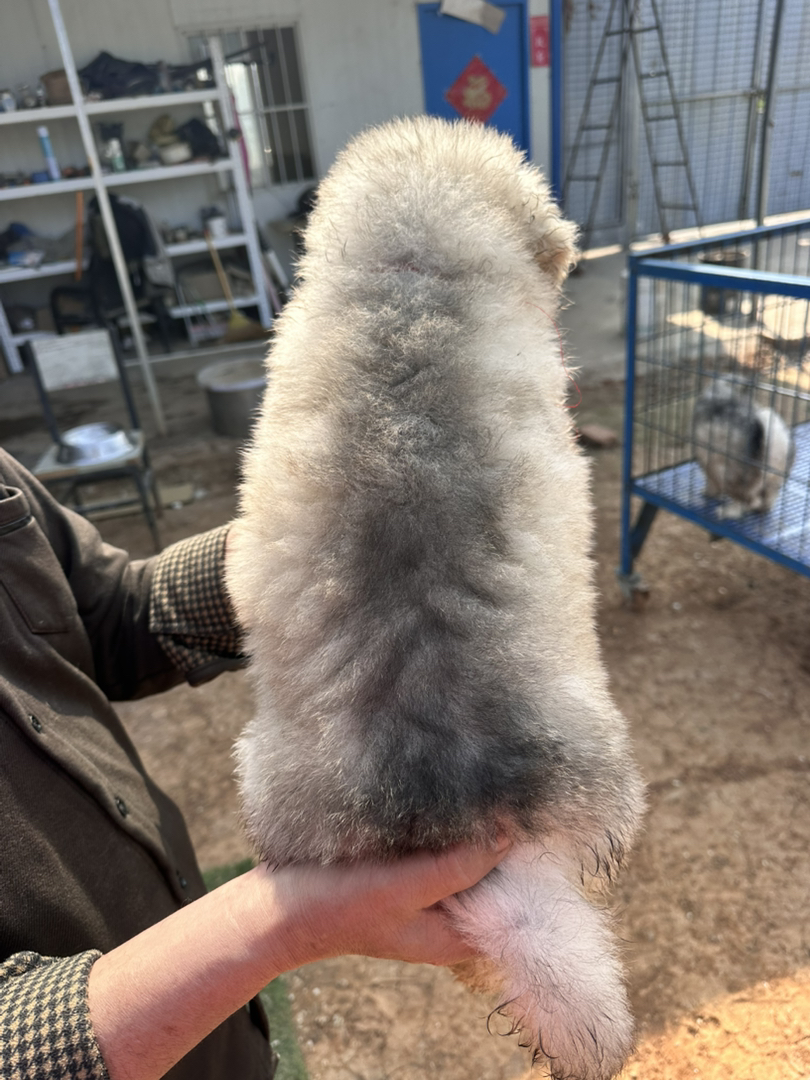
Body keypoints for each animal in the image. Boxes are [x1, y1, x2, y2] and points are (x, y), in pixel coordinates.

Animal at [693, 377, 795, 519]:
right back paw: (762, 509)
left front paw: (709, 492)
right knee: (766, 500)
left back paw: (727, 511)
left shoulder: (706, 461)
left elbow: (711, 482)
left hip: (728, 474)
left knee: (748, 502)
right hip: (774, 480)